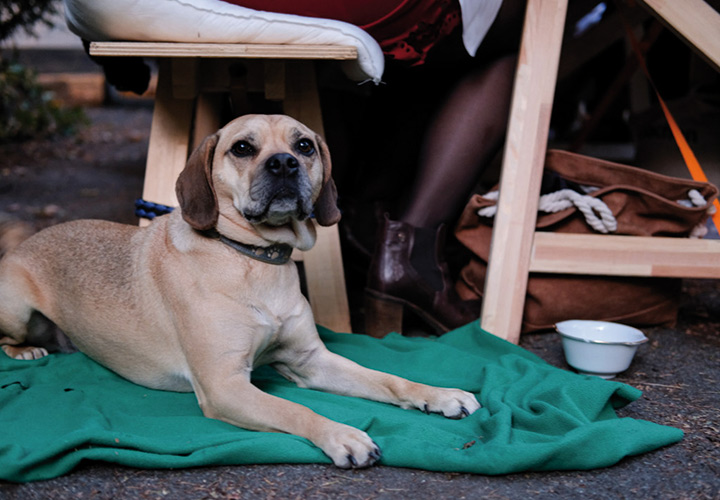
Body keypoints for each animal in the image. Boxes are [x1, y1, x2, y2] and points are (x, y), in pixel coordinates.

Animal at [0, 114, 479, 468]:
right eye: (243, 148)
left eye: (304, 145)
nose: (284, 163)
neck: (255, 259)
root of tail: (25, 242)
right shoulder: (224, 385)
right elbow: (296, 410)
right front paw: (342, 434)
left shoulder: (311, 361)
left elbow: (388, 379)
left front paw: (439, 395)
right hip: (17, 309)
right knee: (10, 337)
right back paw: (25, 350)